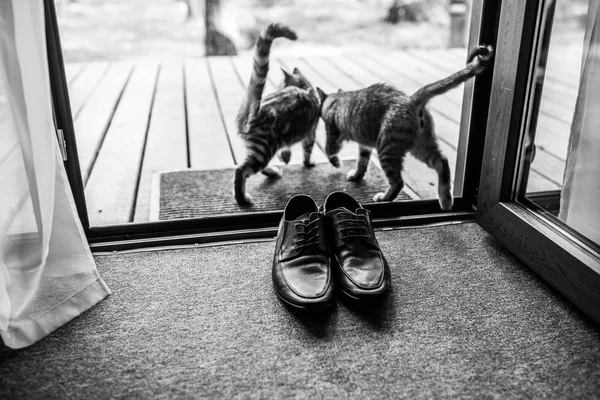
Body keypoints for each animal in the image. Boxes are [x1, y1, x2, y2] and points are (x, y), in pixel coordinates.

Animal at [234, 23, 322, 205]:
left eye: (280, 85)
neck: (305, 88)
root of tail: (257, 108)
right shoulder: (311, 131)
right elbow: (308, 150)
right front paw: (308, 163)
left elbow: (286, 149)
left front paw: (286, 156)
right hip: (264, 149)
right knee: (241, 170)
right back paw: (242, 199)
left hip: (259, 148)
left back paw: (273, 172)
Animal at [316, 44, 494, 209]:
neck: (336, 99)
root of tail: (411, 100)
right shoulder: (364, 145)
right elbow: (362, 162)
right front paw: (357, 175)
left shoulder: (332, 132)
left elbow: (330, 150)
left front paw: (336, 163)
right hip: (421, 146)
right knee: (442, 161)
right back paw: (445, 199)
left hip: (387, 148)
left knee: (398, 182)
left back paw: (384, 197)